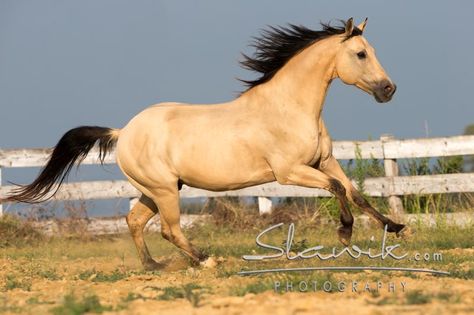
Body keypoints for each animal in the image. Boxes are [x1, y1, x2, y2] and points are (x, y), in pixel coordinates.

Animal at [1, 17, 406, 270]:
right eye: (360, 54)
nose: (389, 90)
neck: (288, 107)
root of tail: (123, 132)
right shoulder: (290, 171)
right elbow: (338, 188)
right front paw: (345, 232)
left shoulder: (324, 161)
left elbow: (355, 192)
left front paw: (395, 227)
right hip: (164, 190)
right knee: (169, 229)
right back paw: (205, 260)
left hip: (156, 190)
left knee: (134, 221)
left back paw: (154, 265)